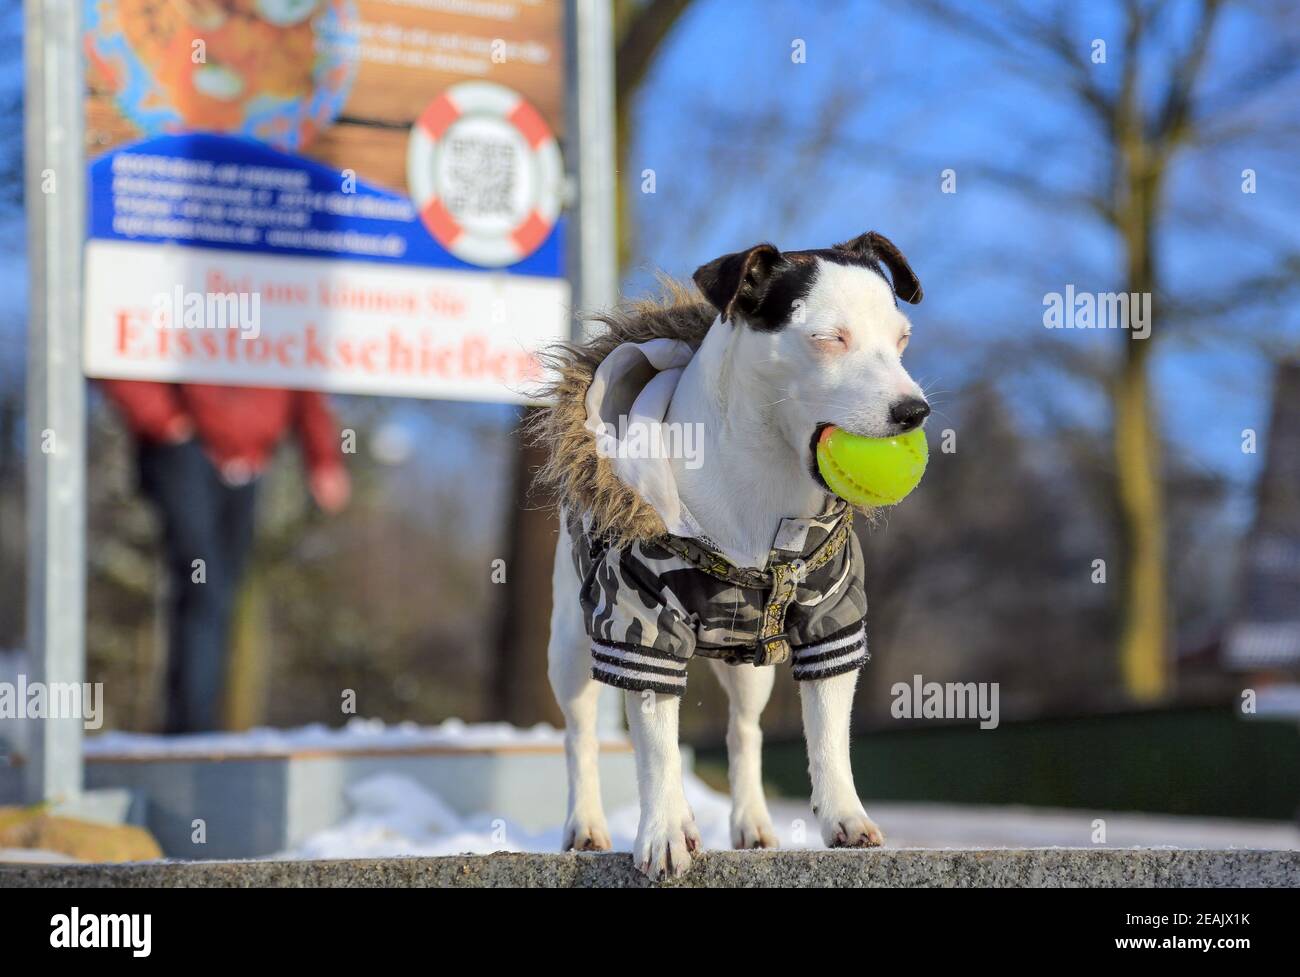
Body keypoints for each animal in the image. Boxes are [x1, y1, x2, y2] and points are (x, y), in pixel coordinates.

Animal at [533, 228, 930, 878]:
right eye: (829, 338)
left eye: (901, 339)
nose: (914, 411)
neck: (768, 473)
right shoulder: (641, 624)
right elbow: (655, 746)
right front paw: (665, 831)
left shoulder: (830, 613)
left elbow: (828, 729)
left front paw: (845, 818)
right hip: (571, 640)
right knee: (582, 731)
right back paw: (586, 825)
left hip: (750, 661)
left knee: (744, 729)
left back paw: (751, 823)